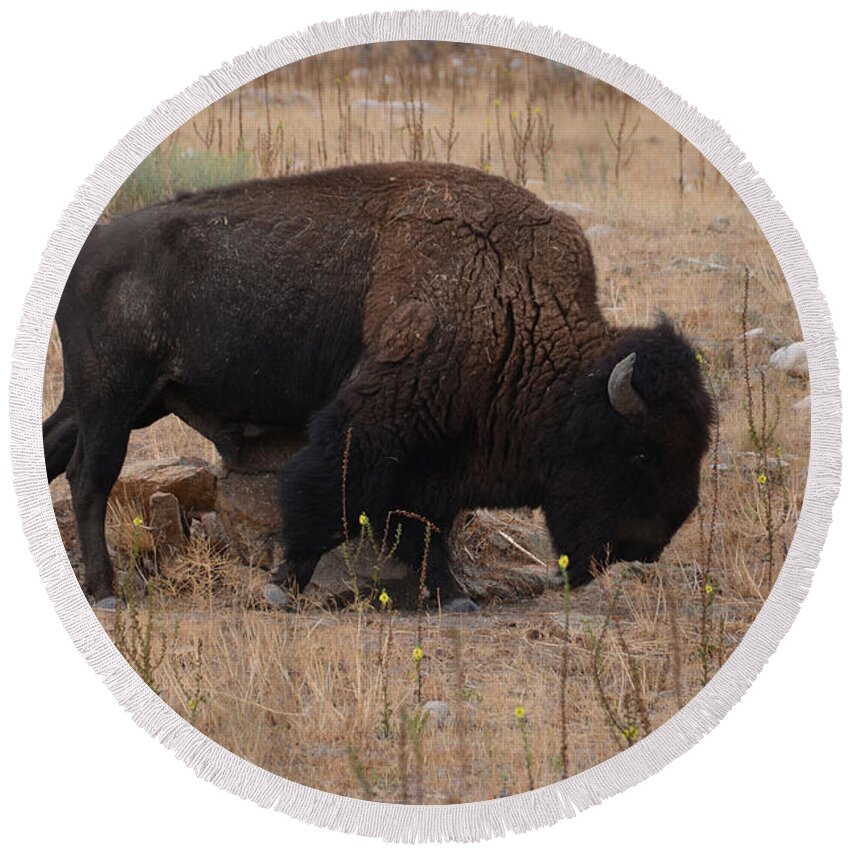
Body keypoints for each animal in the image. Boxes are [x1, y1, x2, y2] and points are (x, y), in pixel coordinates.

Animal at [43, 161, 712, 608]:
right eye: (641, 453)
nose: (646, 547)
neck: (510, 299)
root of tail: (92, 248)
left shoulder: (440, 450)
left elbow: (424, 521)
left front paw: (450, 595)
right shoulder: (377, 418)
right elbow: (330, 493)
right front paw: (283, 586)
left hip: (118, 401)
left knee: (53, 449)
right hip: (112, 398)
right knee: (90, 478)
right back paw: (104, 589)